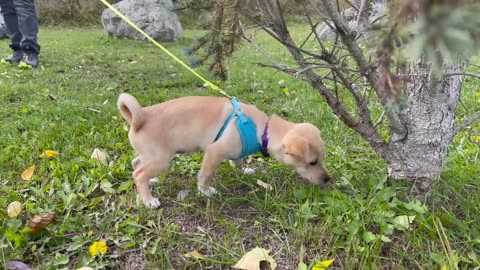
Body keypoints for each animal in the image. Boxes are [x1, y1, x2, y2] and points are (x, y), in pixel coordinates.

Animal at [117, 94, 330, 208]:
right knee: (138, 174)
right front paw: (204, 191)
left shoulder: (236, 153)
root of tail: (140, 117)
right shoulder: (214, 152)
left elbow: (238, 161)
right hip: (161, 159)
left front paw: (244, 171)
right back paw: (148, 200)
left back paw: (151, 181)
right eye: (312, 162)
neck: (262, 129)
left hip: (151, 156)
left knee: (136, 163)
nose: (327, 179)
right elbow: (205, 175)